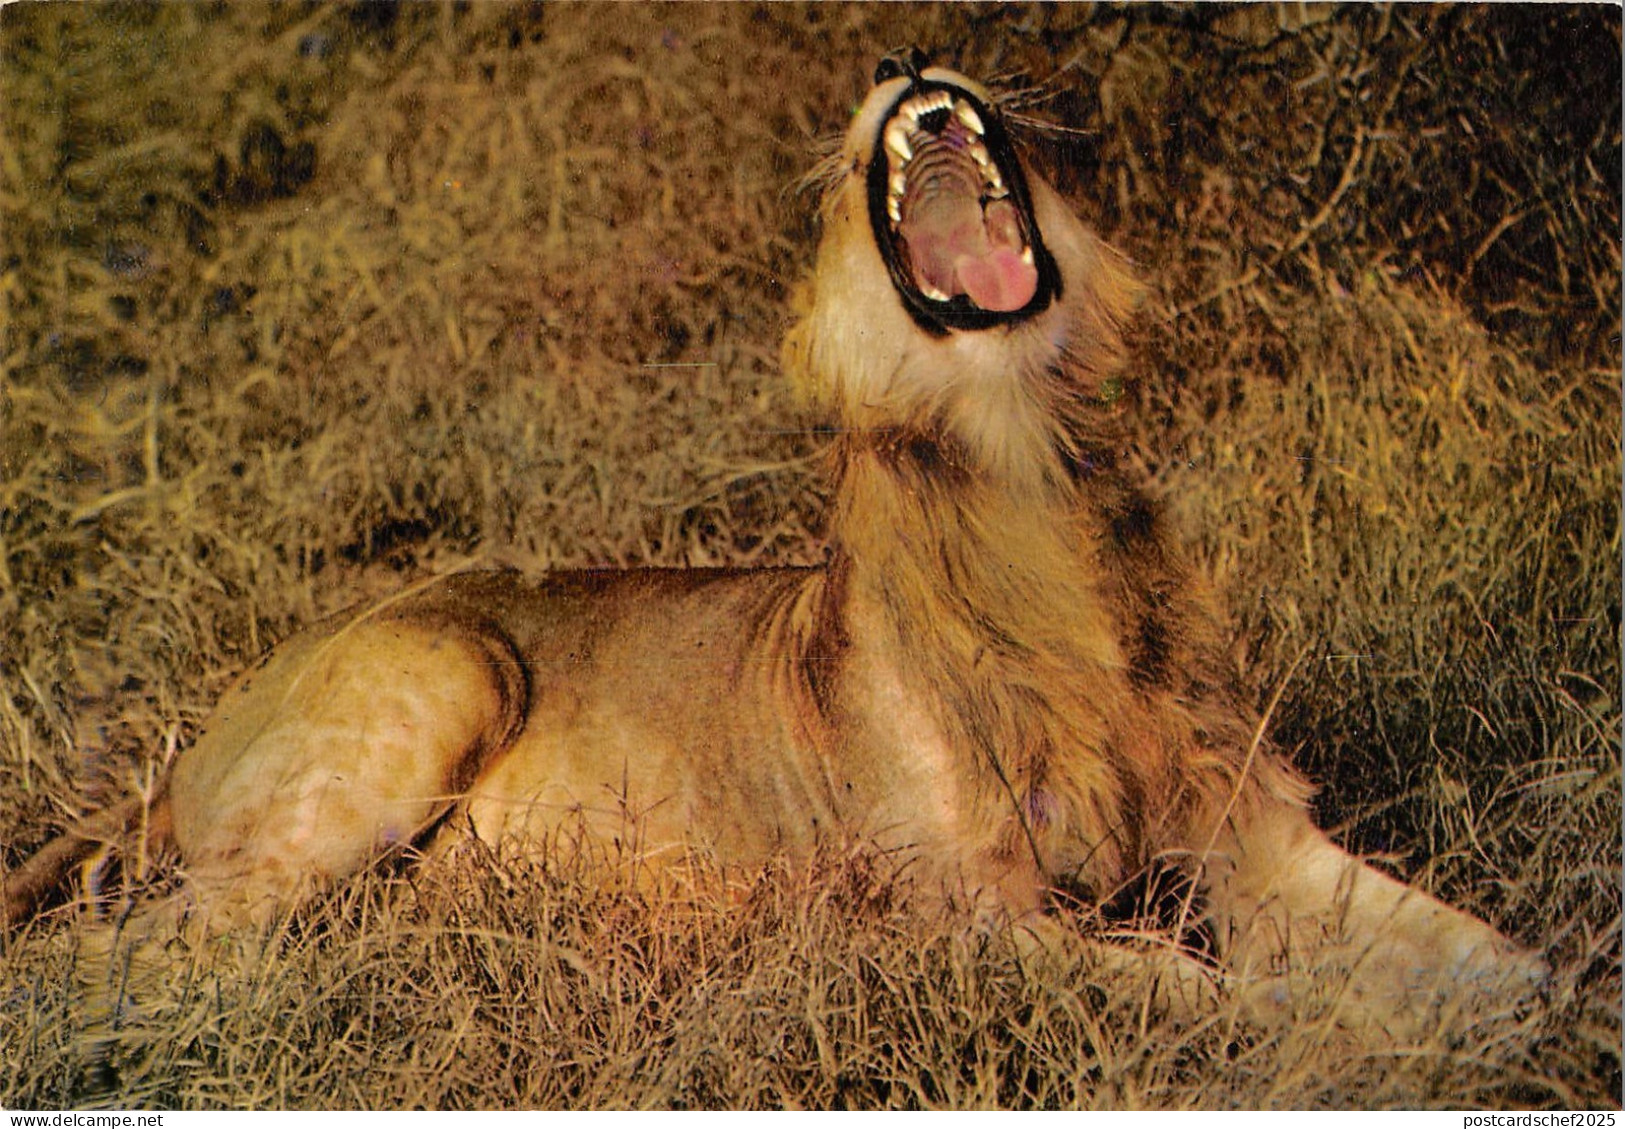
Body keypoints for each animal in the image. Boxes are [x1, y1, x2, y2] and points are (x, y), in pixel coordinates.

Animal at [5, 52, 1540, 1035]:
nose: (906, 52)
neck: (1016, 465)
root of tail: (192, 742)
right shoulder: (963, 920)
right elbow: (1221, 991)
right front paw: (1363, 1038)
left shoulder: (1249, 827)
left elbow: (1467, 945)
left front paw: (1537, 1008)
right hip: (432, 684)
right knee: (134, 952)